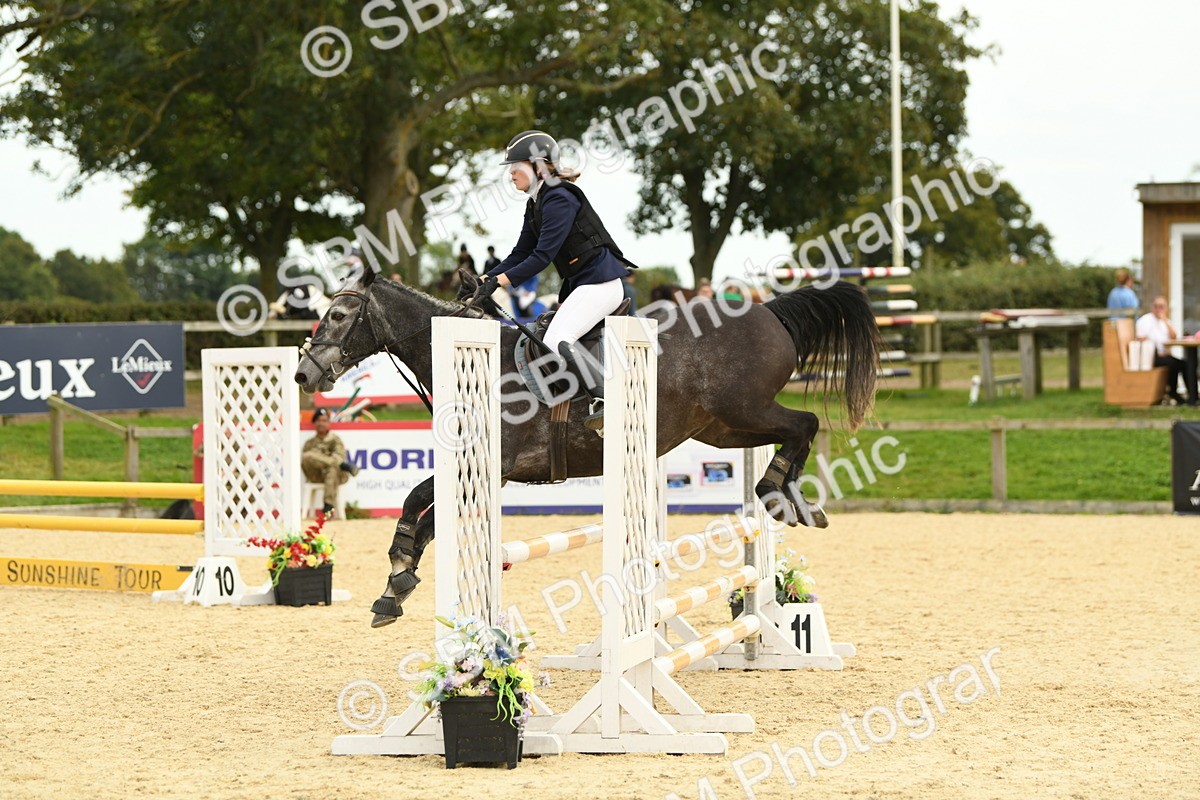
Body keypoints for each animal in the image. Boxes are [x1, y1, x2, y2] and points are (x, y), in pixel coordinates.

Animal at [294, 268, 881, 627]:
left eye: (339, 316)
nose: (304, 373)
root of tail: (768, 311)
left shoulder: (493, 465)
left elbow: (422, 506)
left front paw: (397, 576)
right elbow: (421, 510)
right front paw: (397, 582)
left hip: (743, 409)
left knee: (803, 423)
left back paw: (780, 491)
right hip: (722, 427)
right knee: (790, 432)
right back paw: (792, 497)